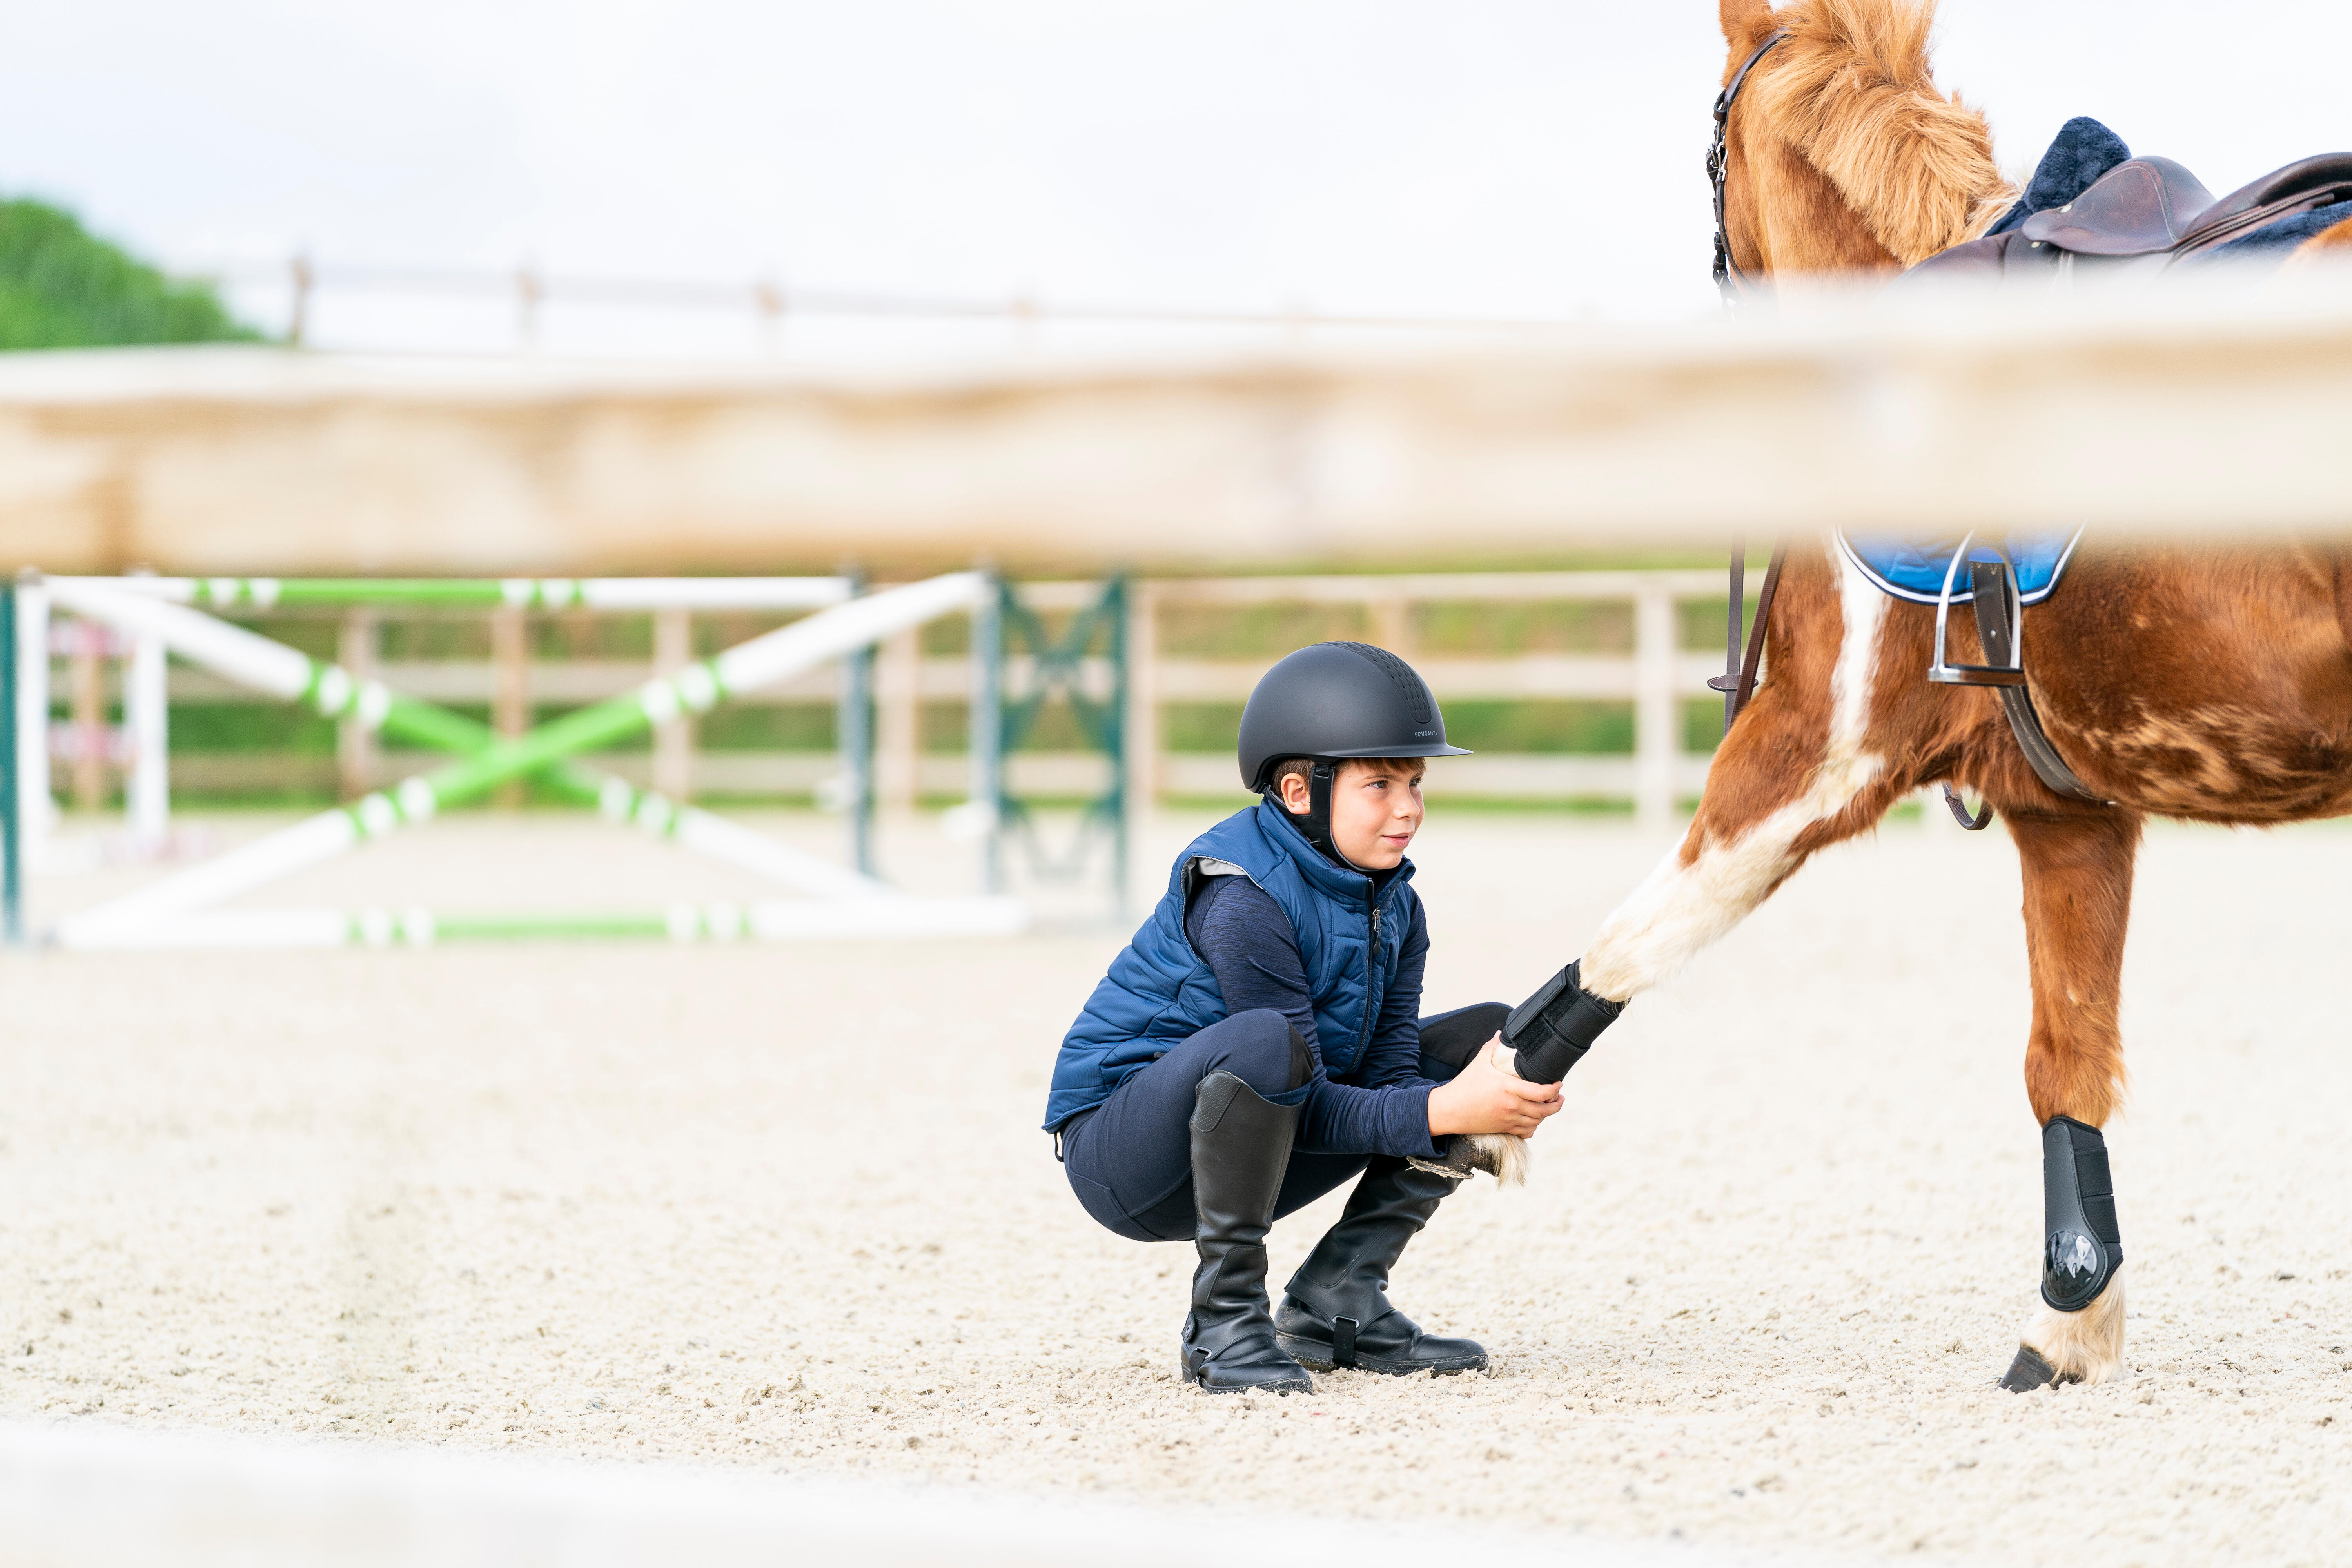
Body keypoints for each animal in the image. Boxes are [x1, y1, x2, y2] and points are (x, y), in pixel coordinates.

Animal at [1505, 0, 2352, 1401]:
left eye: (1711, 142)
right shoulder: (2071, 817)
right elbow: (2067, 1061)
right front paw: (2068, 1328)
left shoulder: (1812, 755)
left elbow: (1622, 948)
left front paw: (1469, 1120)